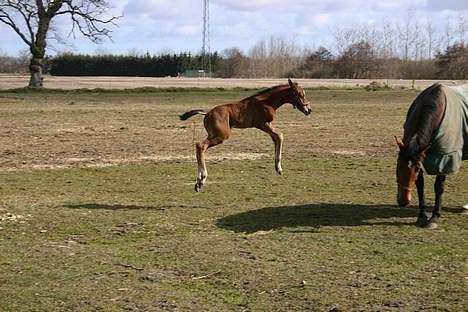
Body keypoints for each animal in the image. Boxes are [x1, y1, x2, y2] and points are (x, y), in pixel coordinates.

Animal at [179, 78, 310, 191]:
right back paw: (202, 179)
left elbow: (277, 137)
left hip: (212, 134)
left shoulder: (267, 125)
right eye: (300, 94)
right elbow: (280, 136)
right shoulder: (262, 124)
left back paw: (198, 182)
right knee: (201, 146)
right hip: (222, 136)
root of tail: (207, 113)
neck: (267, 101)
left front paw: (278, 168)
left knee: (199, 145)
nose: (309, 110)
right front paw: (279, 168)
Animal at [394, 83, 468, 229]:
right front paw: (422, 216)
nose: (403, 201)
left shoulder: (444, 157)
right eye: (398, 166)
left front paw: (434, 218)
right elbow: (420, 184)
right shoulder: (422, 156)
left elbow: (439, 187)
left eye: (416, 168)